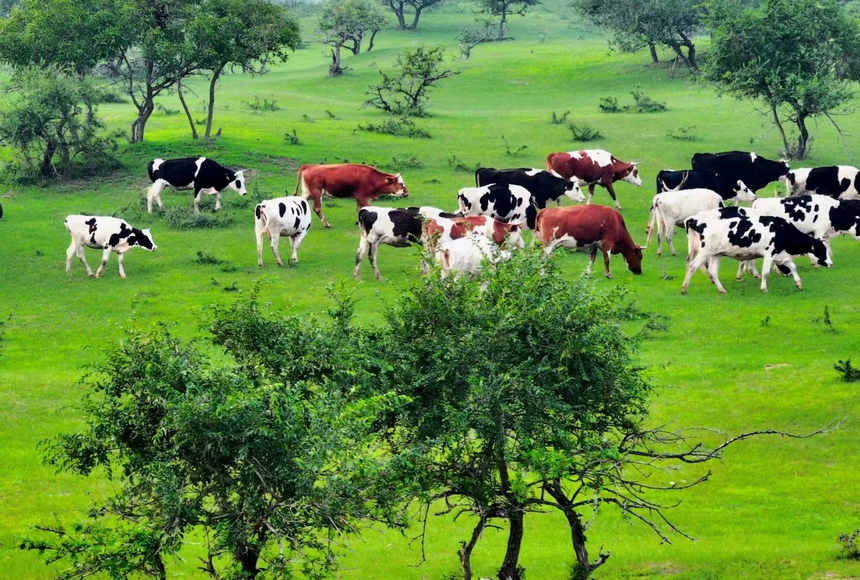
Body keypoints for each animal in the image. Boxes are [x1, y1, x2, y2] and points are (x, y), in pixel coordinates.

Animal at [680, 208, 832, 294]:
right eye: (822, 249)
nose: (830, 264)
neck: (782, 230)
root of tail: (695, 220)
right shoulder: (769, 254)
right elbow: (765, 273)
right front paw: (764, 288)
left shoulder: (781, 255)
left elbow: (793, 267)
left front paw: (798, 284)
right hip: (705, 252)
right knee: (692, 266)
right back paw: (684, 288)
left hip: (716, 254)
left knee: (712, 272)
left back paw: (722, 289)